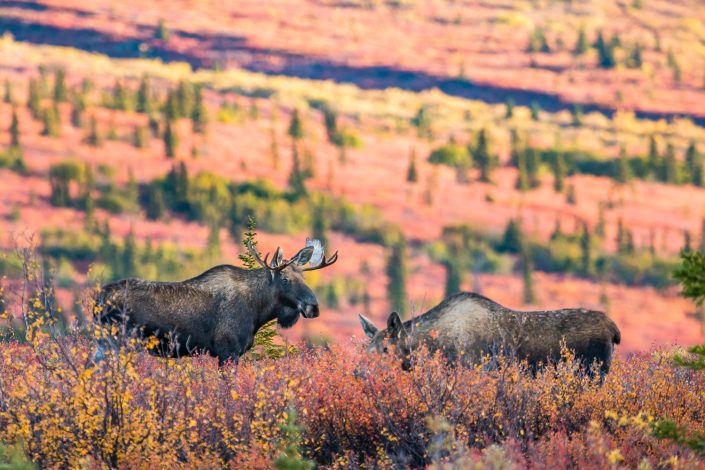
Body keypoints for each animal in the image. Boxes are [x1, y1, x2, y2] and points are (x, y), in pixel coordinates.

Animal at [94, 237, 338, 366]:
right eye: (286, 279)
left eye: (304, 277)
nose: (313, 307)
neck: (257, 311)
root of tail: (97, 298)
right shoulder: (227, 351)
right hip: (117, 342)